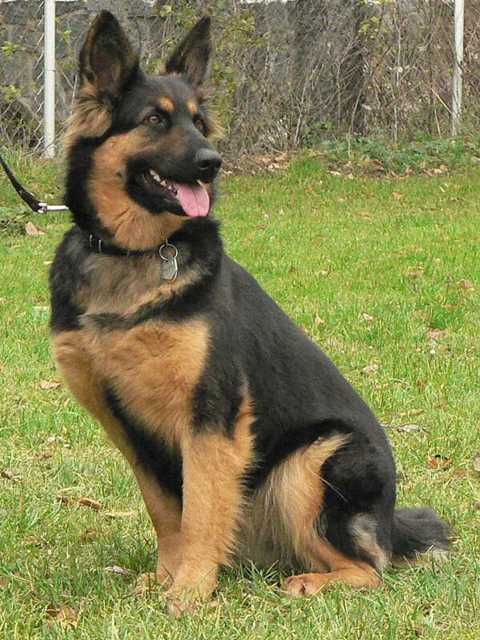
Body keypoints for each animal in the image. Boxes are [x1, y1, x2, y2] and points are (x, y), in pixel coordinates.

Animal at [49, 11, 450, 615]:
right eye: (154, 120)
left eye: (197, 121)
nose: (212, 165)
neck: (135, 255)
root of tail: (388, 522)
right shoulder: (132, 432)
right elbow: (168, 511)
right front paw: (166, 579)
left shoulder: (213, 418)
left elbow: (201, 510)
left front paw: (189, 591)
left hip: (312, 461)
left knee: (372, 569)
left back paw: (313, 582)